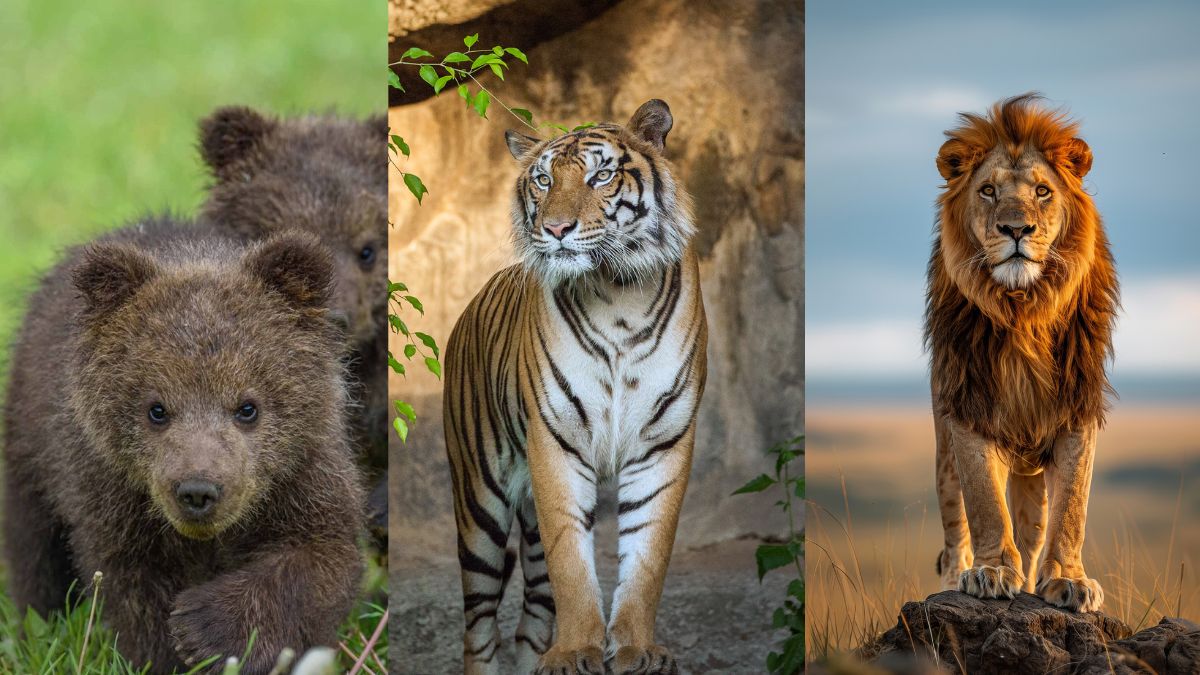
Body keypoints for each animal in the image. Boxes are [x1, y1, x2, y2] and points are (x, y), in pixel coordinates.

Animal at [2, 216, 365, 674]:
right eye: (156, 409)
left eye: (248, 407)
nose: (198, 491)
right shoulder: (111, 499)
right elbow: (135, 594)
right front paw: (170, 651)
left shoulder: (303, 476)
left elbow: (321, 557)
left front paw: (204, 626)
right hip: (30, 447)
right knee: (33, 552)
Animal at [443, 99, 707, 675]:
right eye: (543, 180)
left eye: (601, 176)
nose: (556, 228)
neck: (618, 295)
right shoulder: (555, 442)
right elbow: (571, 560)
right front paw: (576, 650)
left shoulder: (664, 442)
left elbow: (648, 557)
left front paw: (634, 649)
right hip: (479, 504)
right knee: (478, 626)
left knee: (530, 617)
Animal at [924, 93, 1118, 612]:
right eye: (988, 191)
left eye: (1043, 191)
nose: (1016, 229)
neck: (1022, 310)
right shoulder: (968, 410)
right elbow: (985, 505)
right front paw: (990, 573)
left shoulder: (1076, 412)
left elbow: (1072, 508)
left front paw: (1069, 580)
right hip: (943, 455)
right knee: (955, 530)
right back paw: (954, 577)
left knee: (1032, 534)